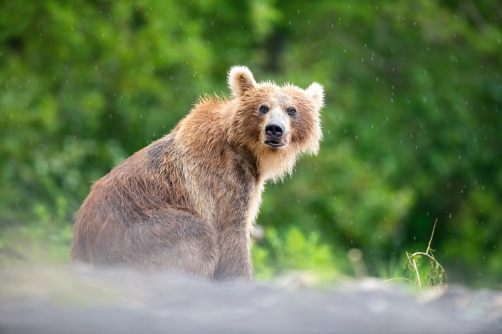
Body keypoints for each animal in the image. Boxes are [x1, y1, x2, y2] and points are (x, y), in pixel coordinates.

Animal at [71, 65, 326, 280]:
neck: (247, 151)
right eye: (263, 107)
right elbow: (232, 233)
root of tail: (81, 234)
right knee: (197, 236)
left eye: (292, 110)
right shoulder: (225, 180)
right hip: (136, 231)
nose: (274, 129)